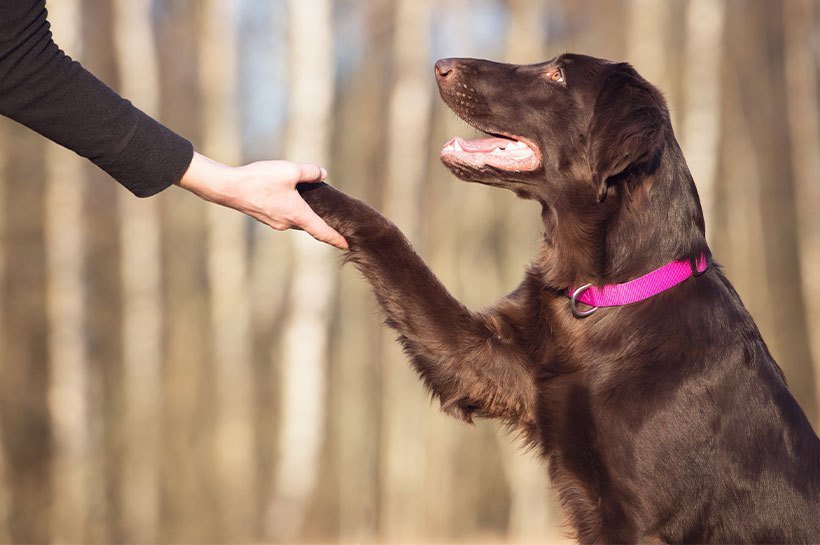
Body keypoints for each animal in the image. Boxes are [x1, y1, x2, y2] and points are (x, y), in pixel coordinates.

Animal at [298, 53, 816, 540]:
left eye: (557, 76)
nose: (441, 65)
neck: (604, 296)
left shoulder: (639, 519)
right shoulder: (485, 362)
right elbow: (391, 241)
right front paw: (306, 186)